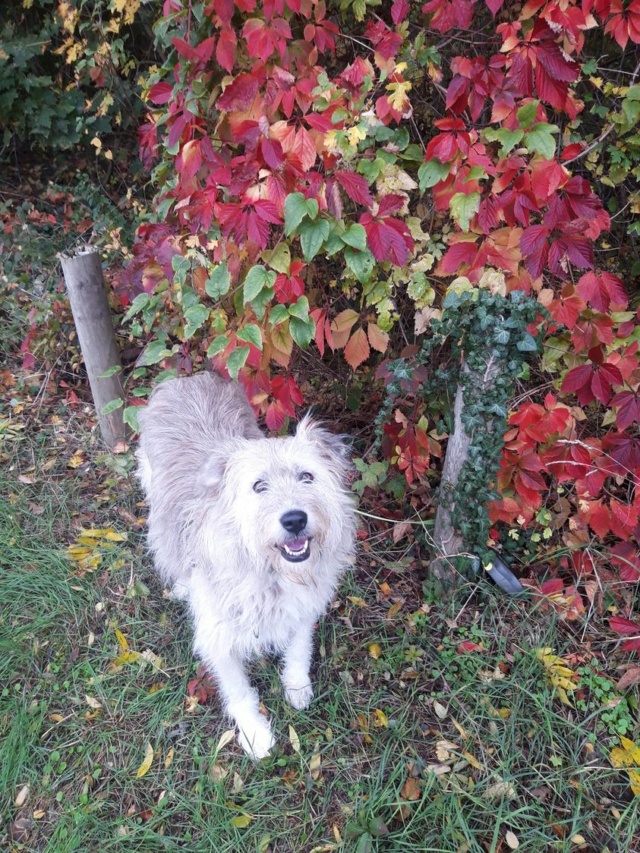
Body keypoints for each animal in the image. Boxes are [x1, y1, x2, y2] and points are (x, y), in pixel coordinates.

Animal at [136, 370, 356, 756]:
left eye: (307, 476)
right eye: (258, 486)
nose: (295, 519)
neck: (270, 571)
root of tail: (187, 377)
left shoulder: (303, 606)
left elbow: (299, 647)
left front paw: (296, 685)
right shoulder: (217, 635)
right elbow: (237, 689)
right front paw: (255, 732)